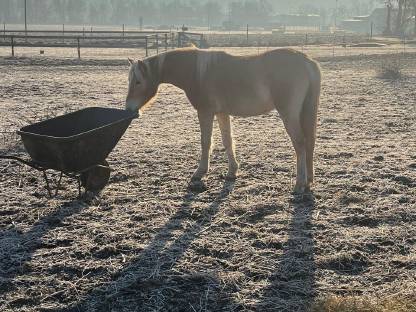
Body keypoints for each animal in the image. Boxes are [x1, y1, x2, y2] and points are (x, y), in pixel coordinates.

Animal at [127, 47, 322, 193]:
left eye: (138, 81)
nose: (129, 109)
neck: (197, 72)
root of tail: (306, 61)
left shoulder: (205, 112)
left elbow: (206, 142)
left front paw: (199, 172)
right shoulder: (222, 113)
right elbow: (227, 141)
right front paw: (232, 171)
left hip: (289, 113)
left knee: (300, 143)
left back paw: (299, 184)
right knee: (310, 143)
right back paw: (308, 181)